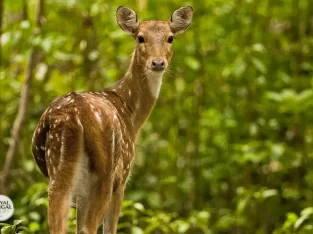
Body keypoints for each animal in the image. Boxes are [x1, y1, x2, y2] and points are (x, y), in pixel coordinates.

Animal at [32, 5, 193, 234]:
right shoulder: (123, 177)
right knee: (88, 227)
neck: (130, 114)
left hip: (58, 168)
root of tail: (71, 118)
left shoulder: (81, 193)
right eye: (140, 37)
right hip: (106, 172)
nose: (157, 63)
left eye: (170, 38)